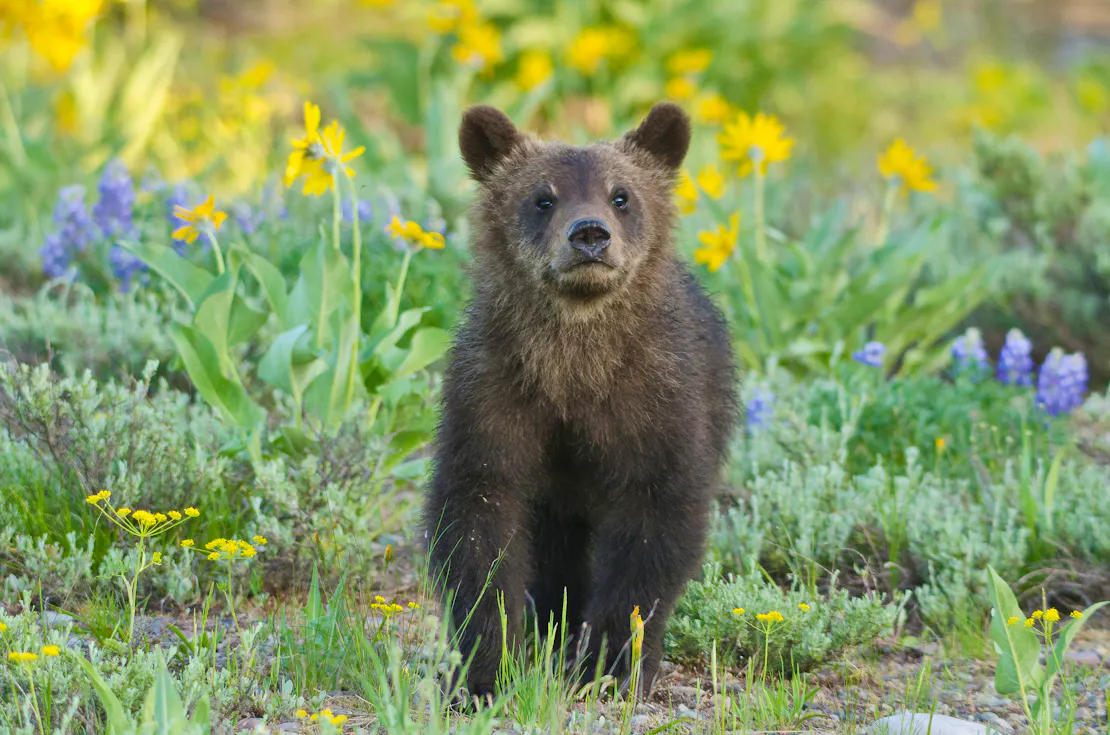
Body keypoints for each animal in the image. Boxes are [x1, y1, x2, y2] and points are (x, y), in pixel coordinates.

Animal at [424, 101, 737, 698]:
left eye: (622, 195)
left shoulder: (656, 399)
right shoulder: (496, 392)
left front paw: (611, 662)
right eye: (543, 197)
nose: (589, 234)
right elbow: (478, 519)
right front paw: (483, 667)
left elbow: (654, 523)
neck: (576, 363)